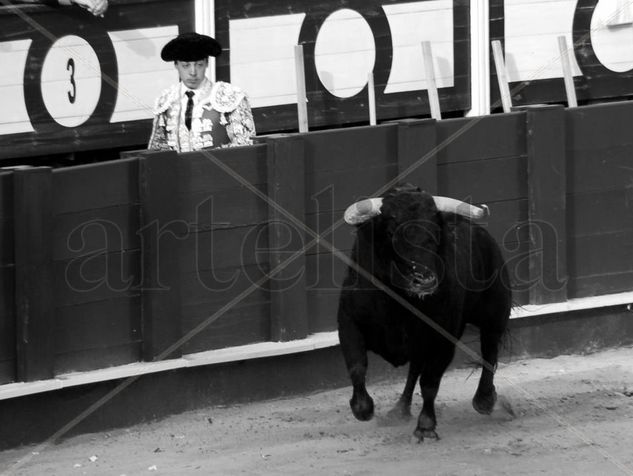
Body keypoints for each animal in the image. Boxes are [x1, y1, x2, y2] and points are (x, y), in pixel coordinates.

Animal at [336, 184, 508, 440]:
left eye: (435, 231)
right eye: (391, 231)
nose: (424, 279)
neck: (397, 302)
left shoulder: (442, 339)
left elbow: (430, 383)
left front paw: (426, 426)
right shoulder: (349, 322)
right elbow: (357, 366)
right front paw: (362, 409)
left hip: (495, 312)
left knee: (490, 350)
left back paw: (484, 399)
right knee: (415, 368)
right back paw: (399, 409)